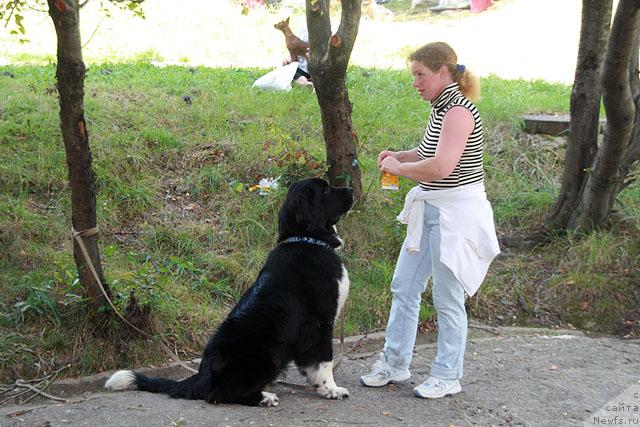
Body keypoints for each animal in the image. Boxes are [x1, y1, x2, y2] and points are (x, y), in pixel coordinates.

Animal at [106, 178, 356, 408]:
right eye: (326, 190)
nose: (351, 189)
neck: (308, 240)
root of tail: (201, 376)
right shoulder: (319, 321)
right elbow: (324, 359)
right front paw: (331, 389)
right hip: (267, 353)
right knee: (216, 395)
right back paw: (265, 397)